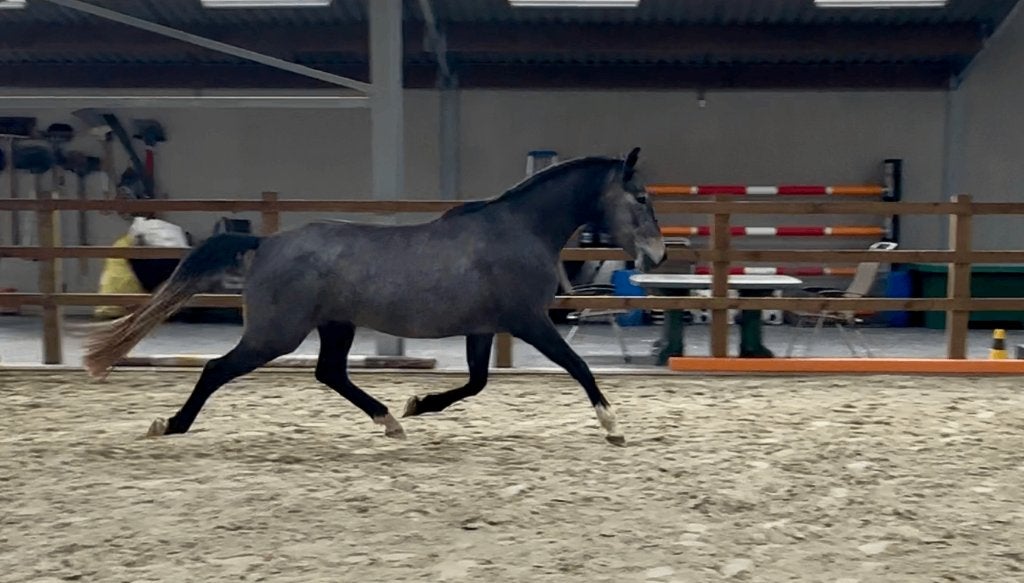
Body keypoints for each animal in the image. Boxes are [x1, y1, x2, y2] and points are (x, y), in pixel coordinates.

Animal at [83, 147, 667, 446]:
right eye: (640, 197)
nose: (658, 256)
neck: (520, 229)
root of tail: (266, 242)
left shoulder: (484, 327)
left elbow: (476, 383)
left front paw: (418, 404)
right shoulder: (529, 321)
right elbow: (578, 366)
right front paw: (612, 425)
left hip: (334, 326)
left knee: (330, 373)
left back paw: (389, 420)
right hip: (276, 334)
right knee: (216, 369)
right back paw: (170, 425)